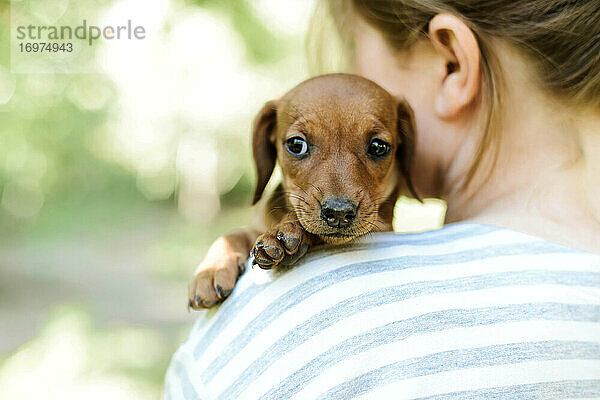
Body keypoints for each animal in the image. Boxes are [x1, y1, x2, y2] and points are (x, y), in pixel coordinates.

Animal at [188, 72, 418, 310]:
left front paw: (285, 233)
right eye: (297, 145)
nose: (338, 213)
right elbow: (231, 235)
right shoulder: (254, 228)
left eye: (378, 147)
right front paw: (212, 270)